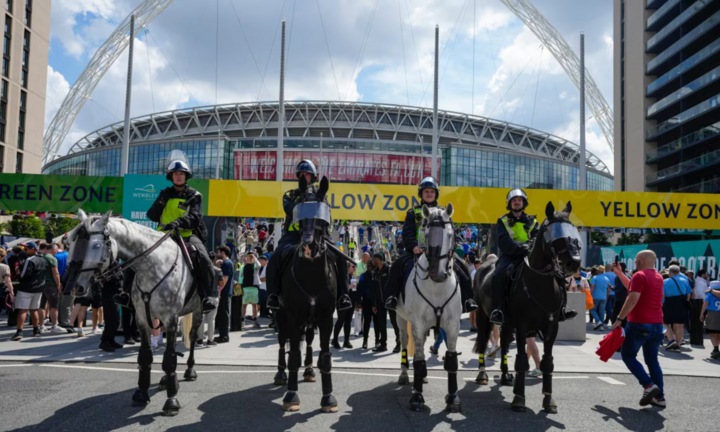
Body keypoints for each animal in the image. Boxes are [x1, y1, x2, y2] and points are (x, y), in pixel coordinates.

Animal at [69, 211, 202, 416]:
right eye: (74, 243)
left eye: (97, 245)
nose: (78, 287)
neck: (153, 266)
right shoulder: (142, 319)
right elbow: (146, 356)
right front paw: (142, 394)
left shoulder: (170, 318)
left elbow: (169, 359)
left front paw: (171, 401)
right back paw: (167, 380)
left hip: (198, 310)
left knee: (193, 337)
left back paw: (189, 371)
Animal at [278, 177, 340, 414]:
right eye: (300, 207)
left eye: (323, 208)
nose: (308, 246)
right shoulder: (293, 317)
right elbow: (293, 355)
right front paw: (291, 395)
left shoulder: (325, 318)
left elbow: (325, 357)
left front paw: (328, 398)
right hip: (280, 315)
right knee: (282, 342)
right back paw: (280, 374)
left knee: (311, 342)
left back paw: (309, 371)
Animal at [394, 204, 462, 414]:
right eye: (425, 231)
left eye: (450, 234)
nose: (437, 273)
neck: (437, 287)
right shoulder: (417, 323)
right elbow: (418, 359)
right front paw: (417, 397)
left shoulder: (453, 324)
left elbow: (451, 360)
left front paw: (453, 398)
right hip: (401, 319)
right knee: (405, 343)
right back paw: (405, 376)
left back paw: (422, 378)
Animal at [472, 201, 584, 414]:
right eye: (554, 232)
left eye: (573, 229)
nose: (574, 262)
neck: (539, 283)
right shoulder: (523, 326)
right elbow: (522, 360)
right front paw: (519, 399)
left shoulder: (551, 328)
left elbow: (547, 363)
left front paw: (548, 400)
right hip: (483, 315)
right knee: (482, 341)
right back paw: (482, 375)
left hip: (507, 324)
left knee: (504, 344)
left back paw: (505, 376)